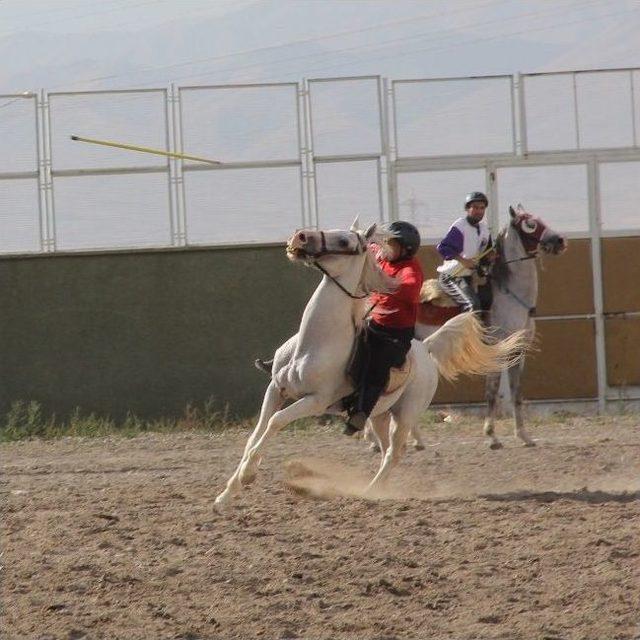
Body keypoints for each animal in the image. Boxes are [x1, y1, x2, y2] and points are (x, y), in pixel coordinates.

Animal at [215, 221, 524, 510]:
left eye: (344, 241)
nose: (300, 237)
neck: (313, 344)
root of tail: (426, 349)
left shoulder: (315, 401)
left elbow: (276, 422)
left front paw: (248, 476)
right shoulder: (276, 389)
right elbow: (255, 434)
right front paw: (226, 494)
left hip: (405, 415)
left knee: (395, 452)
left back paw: (369, 491)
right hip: (378, 415)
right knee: (386, 448)